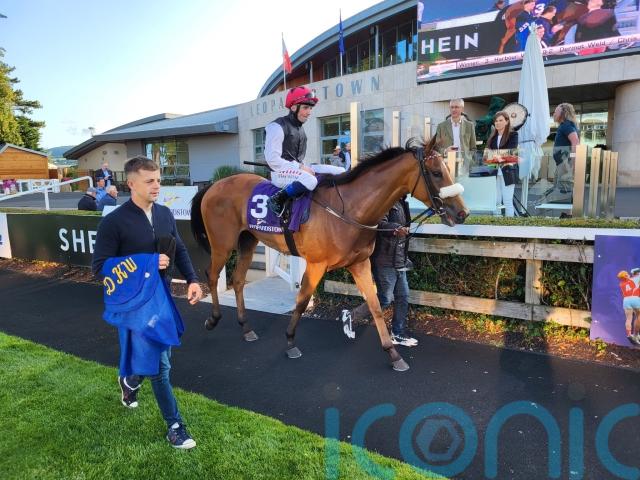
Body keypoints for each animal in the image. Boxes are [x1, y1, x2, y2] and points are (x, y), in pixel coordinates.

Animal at [190, 137, 469, 371]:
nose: (462, 213)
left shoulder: (360, 264)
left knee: (237, 280)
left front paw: (392, 353)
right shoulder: (315, 265)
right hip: (222, 244)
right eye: (436, 173)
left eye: (447, 170)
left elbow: (376, 306)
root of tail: (214, 185)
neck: (350, 210)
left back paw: (246, 327)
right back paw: (213, 319)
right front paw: (290, 342)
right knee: (212, 275)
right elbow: (302, 302)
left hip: (247, 241)